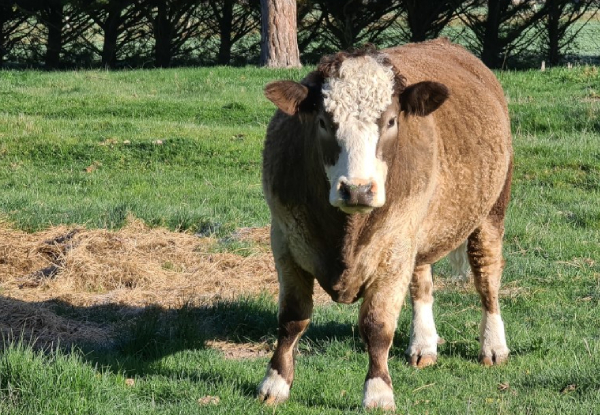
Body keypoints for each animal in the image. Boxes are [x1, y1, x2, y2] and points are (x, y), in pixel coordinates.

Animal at [256, 39, 510, 412]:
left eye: (390, 121)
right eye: (323, 121)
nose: (358, 189)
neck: (346, 232)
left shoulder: (393, 249)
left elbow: (377, 326)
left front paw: (377, 392)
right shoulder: (285, 242)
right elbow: (291, 318)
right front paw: (274, 383)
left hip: (491, 211)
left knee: (487, 277)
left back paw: (493, 345)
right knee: (422, 283)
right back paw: (423, 344)